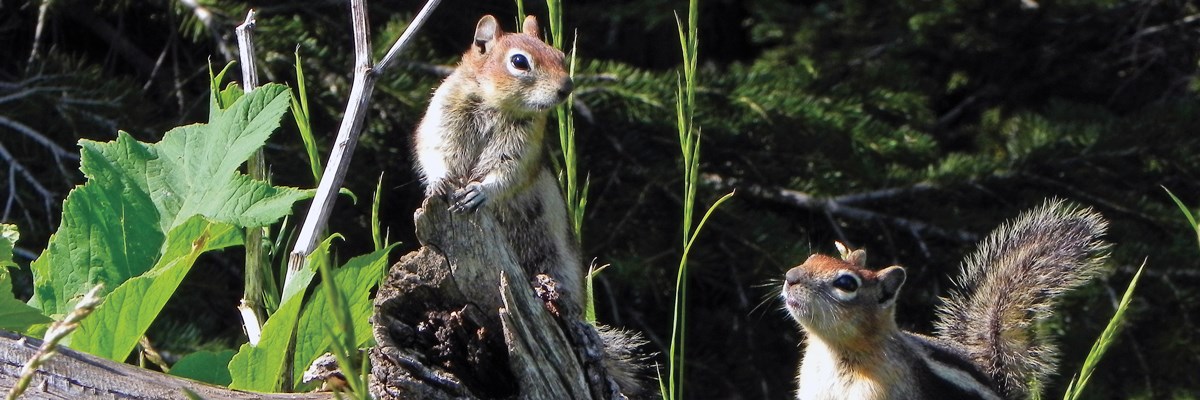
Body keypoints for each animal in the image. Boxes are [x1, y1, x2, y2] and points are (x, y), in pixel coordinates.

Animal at [412, 14, 580, 307]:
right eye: (519, 62)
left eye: (560, 56)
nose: (567, 87)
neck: (495, 105)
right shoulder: (441, 119)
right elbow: (433, 151)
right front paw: (439, 182)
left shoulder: (522, 148)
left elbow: (509, 173)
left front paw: (480, 192)